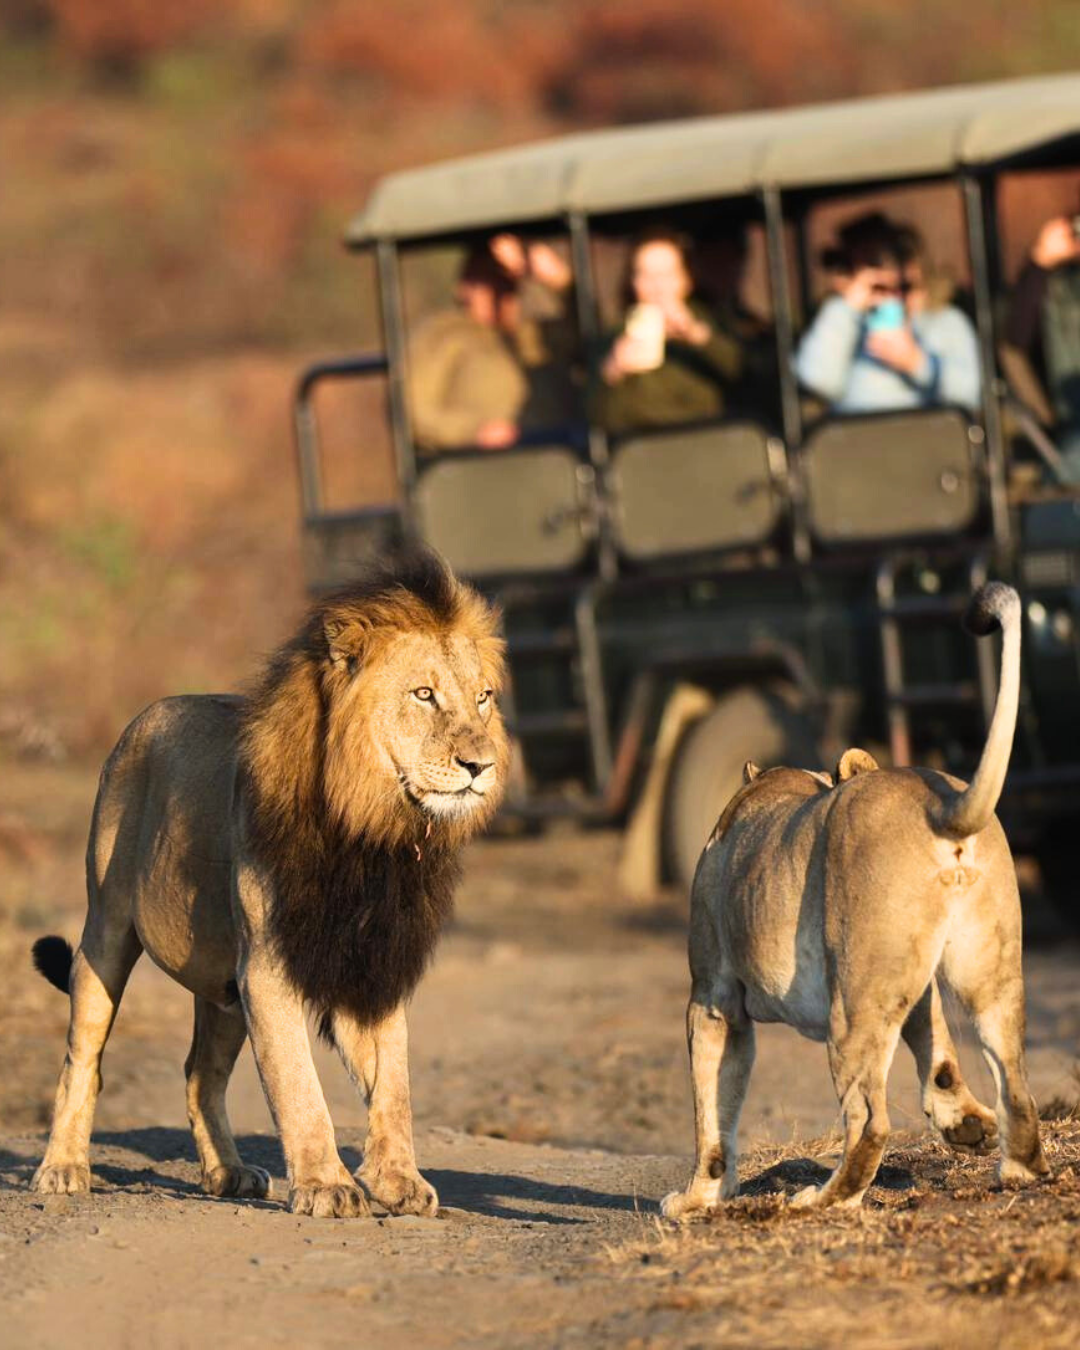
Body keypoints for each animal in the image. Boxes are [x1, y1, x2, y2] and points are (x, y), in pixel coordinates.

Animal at [31, 549, 508, 1218]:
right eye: (424, 694)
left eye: (484, 697)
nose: (481, 765)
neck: (370, 831)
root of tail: (146, 715)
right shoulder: (266, 964)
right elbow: (298, 1084)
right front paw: (327, 1185)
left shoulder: (376, 960)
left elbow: (394, 1083)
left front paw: (398, 1180)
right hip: (108, 931)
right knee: (84, 1057)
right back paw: (62, 1168)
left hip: (222, 984)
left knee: (199, 1073)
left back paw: (227, 1173)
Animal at [662, 581, 1049, 1216]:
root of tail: (942, 807)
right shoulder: (912, 980)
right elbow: (936, 1043)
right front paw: (964, 1124)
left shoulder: (713, 996)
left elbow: (711, 1109)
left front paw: (698, 1197)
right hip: (982, 974)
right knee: (1014, 1082)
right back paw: (1018, 1169)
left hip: (853, 1003)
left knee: (869, 1120)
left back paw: (821, 1200)